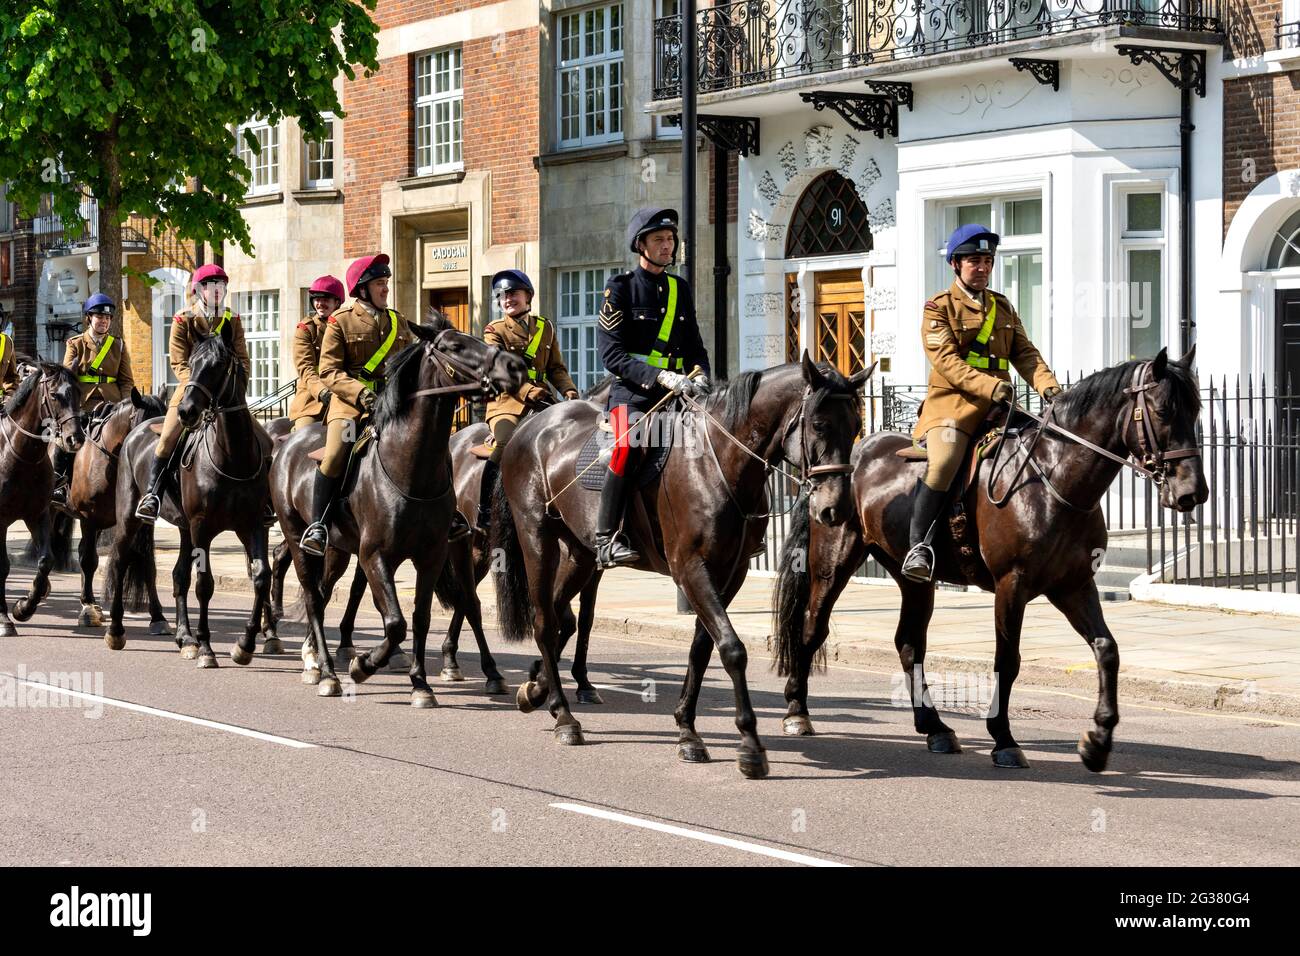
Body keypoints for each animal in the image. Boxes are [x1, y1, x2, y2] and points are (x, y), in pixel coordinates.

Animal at [0, 364, 83, 634]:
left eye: (79, 392)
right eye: (55, 395)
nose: (75, 439)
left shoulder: (39, 514)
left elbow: (46, 561)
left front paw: (24, 607)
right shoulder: (1, 520)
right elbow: (2, 566)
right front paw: (4, 619)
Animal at [107, 327, 276, 665]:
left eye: (219, 364)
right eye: (193, 362)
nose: (186, 411)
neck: (232, 456)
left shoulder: (251, 525)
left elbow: (261, 577)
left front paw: (245, 644)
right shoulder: (202, 527)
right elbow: (204, 584)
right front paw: (208, 648)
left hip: (185, 529)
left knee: (178, 575)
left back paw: (184, 637)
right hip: (131, 517)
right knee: (120, 559)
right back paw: (117, 630)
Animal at [269, 317, 522, 697]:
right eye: (455, 346)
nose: (515, 366)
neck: (410, 467)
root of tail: (287, 443)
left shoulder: (431, 554)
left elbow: (419, 616)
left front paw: (420, 683)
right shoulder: (374, 554)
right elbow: (395, 622)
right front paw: (364, 664)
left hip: (340, 549)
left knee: (325, 592)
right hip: (297, 536)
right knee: (313, 597)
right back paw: (325, 671)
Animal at [769, 348, 1206, 775]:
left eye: (1197, 410)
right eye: (1164, 410)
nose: (1193, 492)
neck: (1052, 478)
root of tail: (848, 459)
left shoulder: (1074, 585)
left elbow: (1107, 649)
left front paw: (1098, 741)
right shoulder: (1012, 585)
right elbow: (1007, 661)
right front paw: (1004, 739)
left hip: (914, 580)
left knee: (909, 643)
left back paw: (935, 727)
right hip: (833, 562)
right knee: (811, 629)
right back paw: (797, 711)